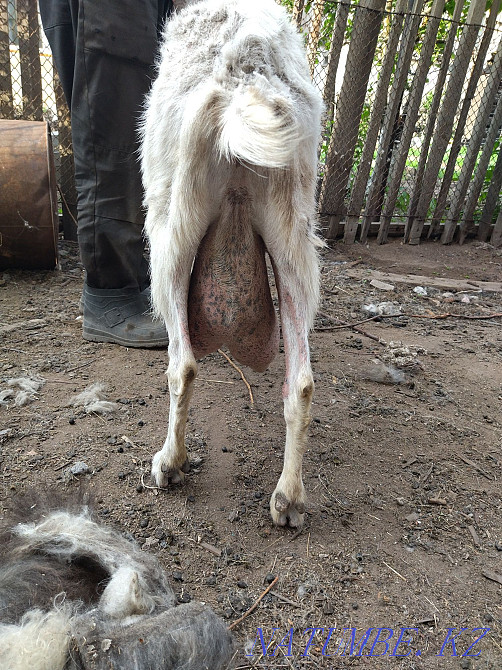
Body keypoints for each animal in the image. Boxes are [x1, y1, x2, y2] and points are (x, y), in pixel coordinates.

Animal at [141, 0, 323, 527]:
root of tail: (248, 71)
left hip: (173, 227)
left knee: (182, 366)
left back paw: (169, 464)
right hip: (293, 232)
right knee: (301, 382)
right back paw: (288, 497)